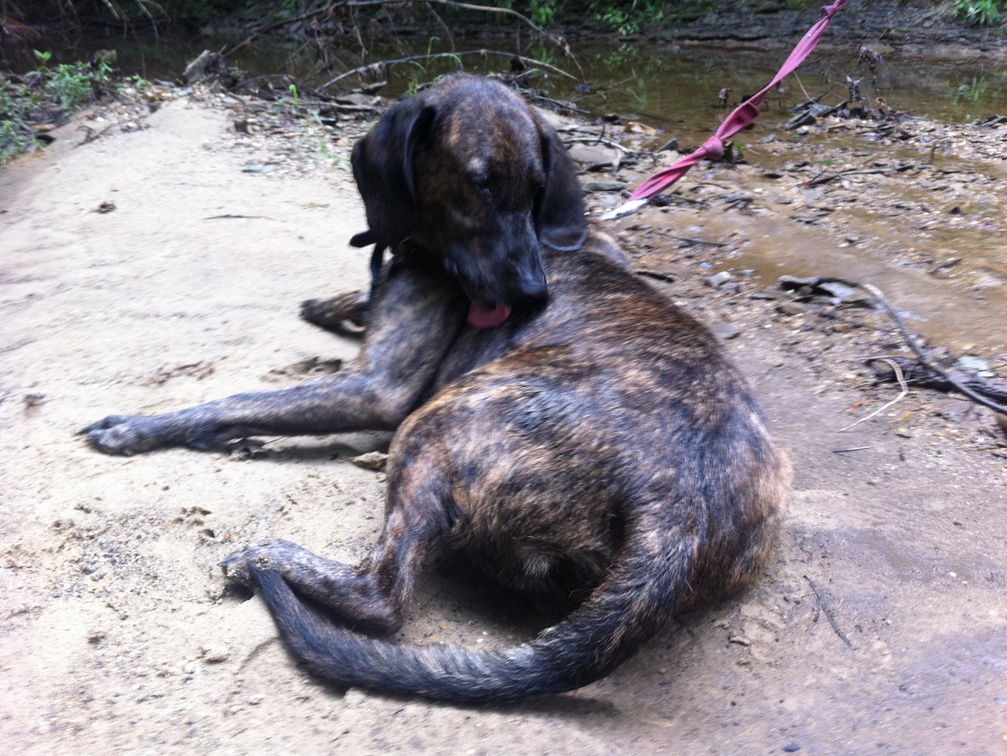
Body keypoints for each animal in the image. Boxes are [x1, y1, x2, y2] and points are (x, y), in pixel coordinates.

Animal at [80, 75, 785, 704]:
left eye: (535, 190)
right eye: (480, 183)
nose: (534, 295)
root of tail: (677, 510)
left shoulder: (378, 388)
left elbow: (239, 402)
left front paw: (138, 427)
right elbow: (357, 297)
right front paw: (329, 303)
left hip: (437, 423)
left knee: (384, 597)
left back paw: (270, 558)